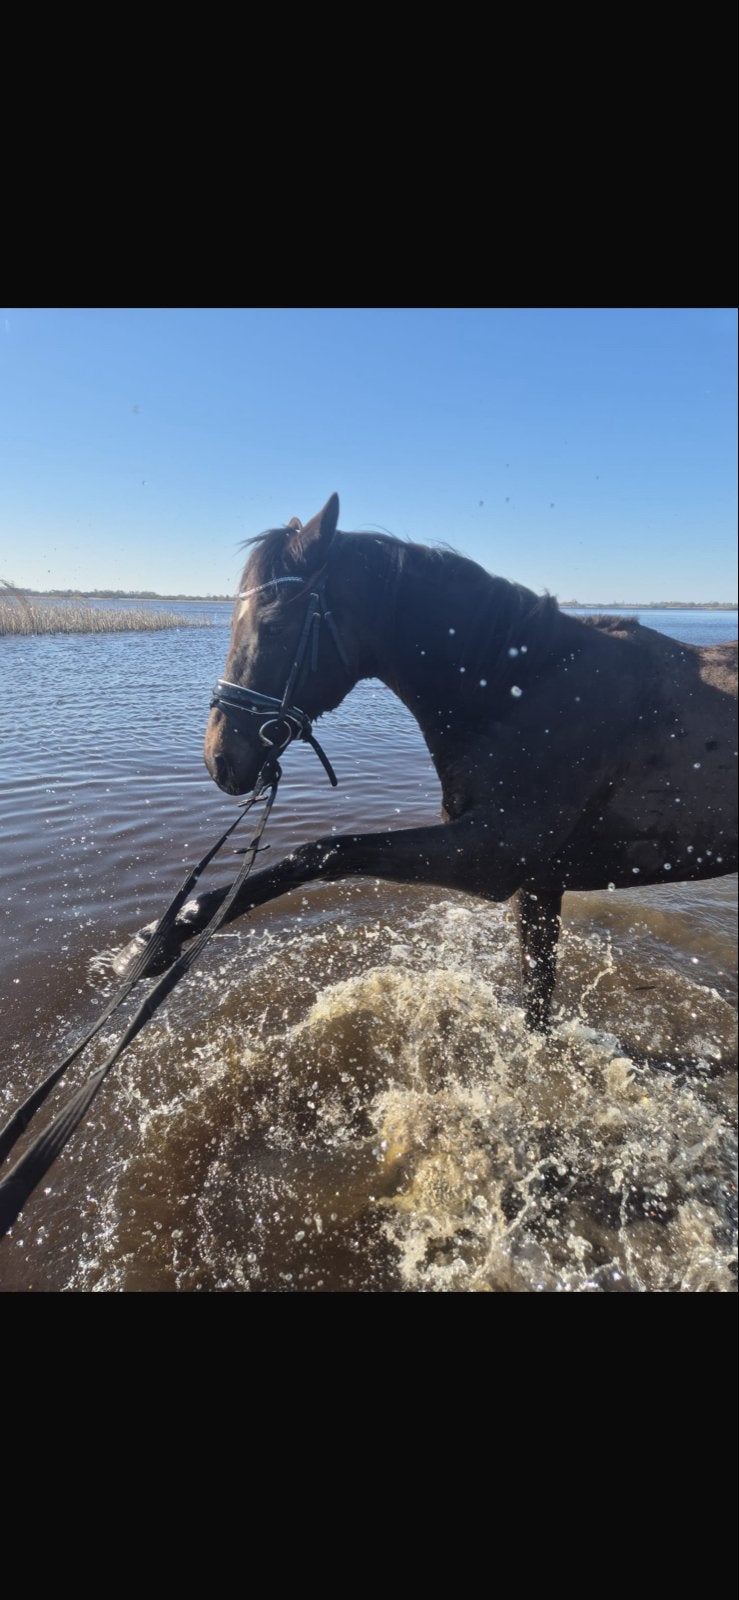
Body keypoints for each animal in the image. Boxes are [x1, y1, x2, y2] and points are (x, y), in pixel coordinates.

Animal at [185, 492, 735, 1032]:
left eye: (274, 625)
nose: (220, 758)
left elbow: (322, 852)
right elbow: (536, 1006)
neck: (525, 690)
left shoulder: (489, 856)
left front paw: (183, 923)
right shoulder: (538, 882)